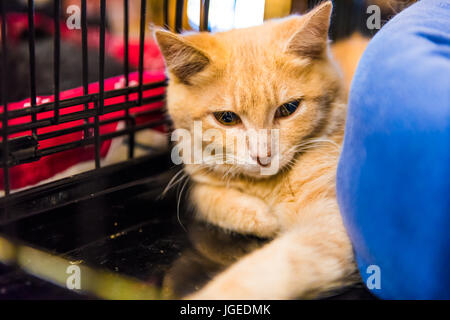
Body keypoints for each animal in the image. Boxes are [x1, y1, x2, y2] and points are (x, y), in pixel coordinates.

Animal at [155, 1, 356, 298]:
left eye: (288, 109)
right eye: (227, 118)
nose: (263, 157)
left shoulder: (330, 228)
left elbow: (259, 272)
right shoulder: (198, 174)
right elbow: (205, 196)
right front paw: (262, 217)